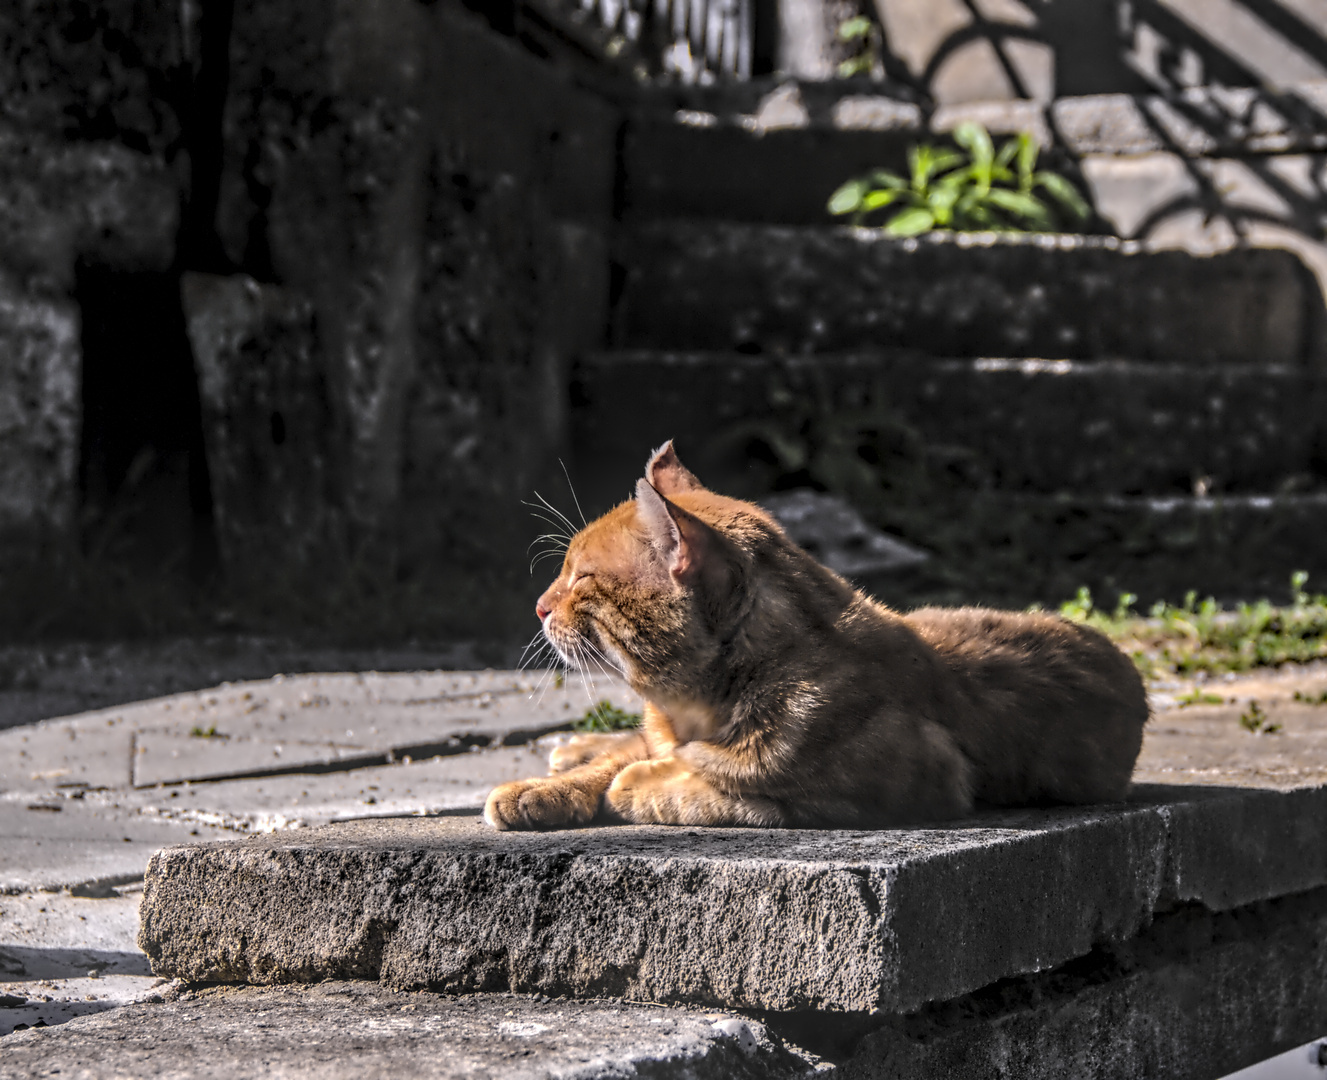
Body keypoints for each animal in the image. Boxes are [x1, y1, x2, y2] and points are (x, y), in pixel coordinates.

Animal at [483, 443, 1146, 833]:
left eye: (581, 579)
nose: (539, 606)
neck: (694, 711)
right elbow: (620, 763)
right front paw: (538, 790)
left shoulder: (909, 787)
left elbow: (724, 790)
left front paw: (647, 785)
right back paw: (571, 748)